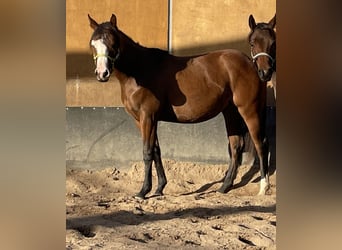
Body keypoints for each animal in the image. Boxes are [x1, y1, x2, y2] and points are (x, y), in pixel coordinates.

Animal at [88, 14, 270, 199]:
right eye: (93, 44)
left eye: (113, 43)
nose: (102, 73)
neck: (140, 71)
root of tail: (253, 64)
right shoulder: (142, 120)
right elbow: (156, 150)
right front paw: (160, 187)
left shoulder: (148, 117)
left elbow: (147, 152)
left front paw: (143, 191)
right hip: (230, 112)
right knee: (236, 146)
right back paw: (224, 187)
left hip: (249, 110)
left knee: (260, 144)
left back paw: (263, 187)